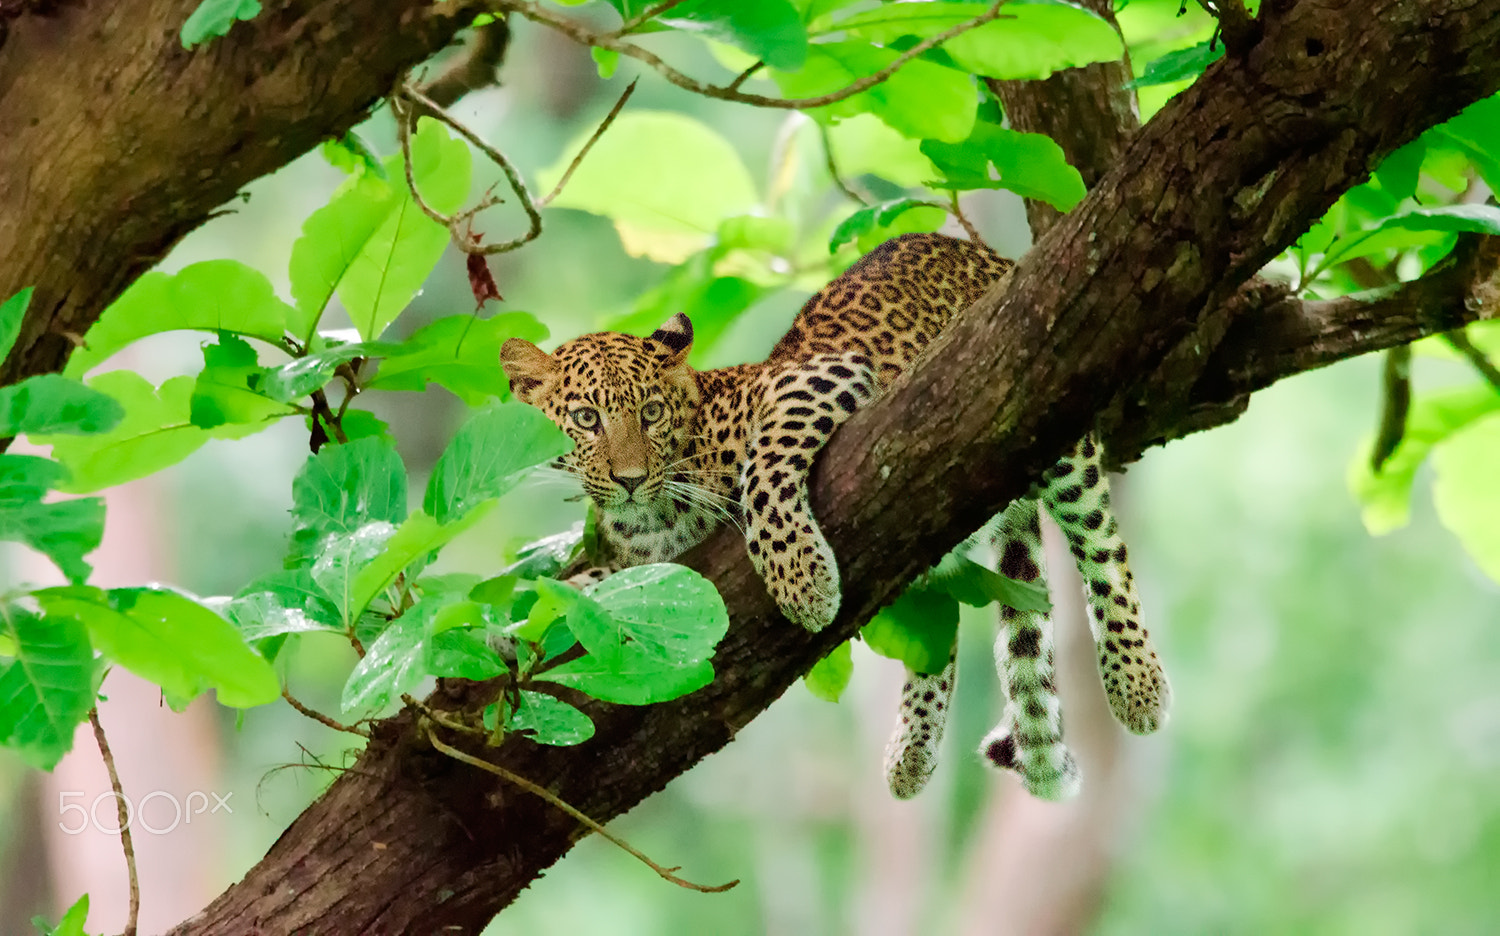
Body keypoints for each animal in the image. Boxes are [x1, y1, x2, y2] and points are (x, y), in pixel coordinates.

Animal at [504, 231, 1170, 798]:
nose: (631, 479)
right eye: (587, 419)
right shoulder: (646, 562)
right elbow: (585, 588)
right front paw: (514, 631)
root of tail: (982, 252)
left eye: (650, 413)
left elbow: (763, 471)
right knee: (936, 633)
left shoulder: (813, 377)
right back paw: (912, 751)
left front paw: (802, 580)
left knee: (1102, 548)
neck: (652, 520)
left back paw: (1137, 683)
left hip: (1056, 423)